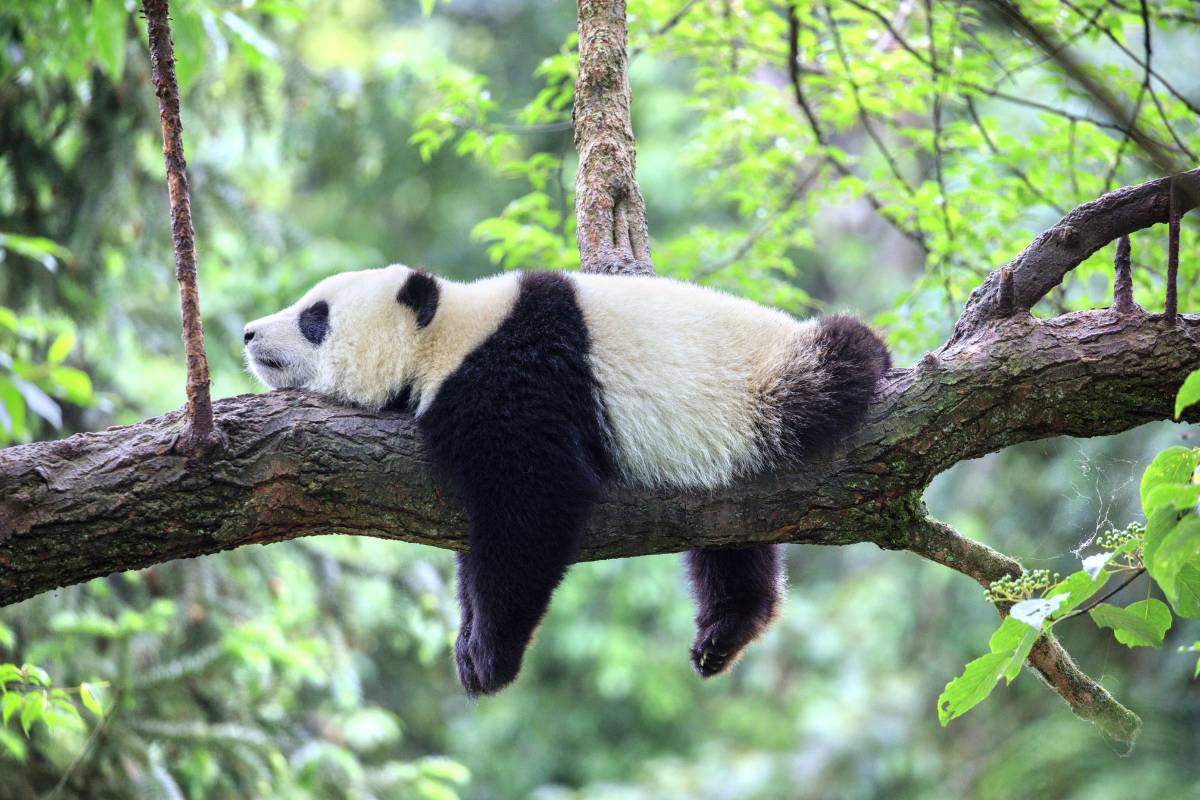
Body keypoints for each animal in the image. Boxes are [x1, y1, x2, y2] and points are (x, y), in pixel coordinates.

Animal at [243, 265, 889, 696]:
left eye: (315, 317)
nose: (248, 333)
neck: (448, 334)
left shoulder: (515, 380)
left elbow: (534, 506)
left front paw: (488, 657)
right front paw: (468, 639)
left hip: (766, 388)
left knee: (837, 362)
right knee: (731, 539)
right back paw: (725, 630)